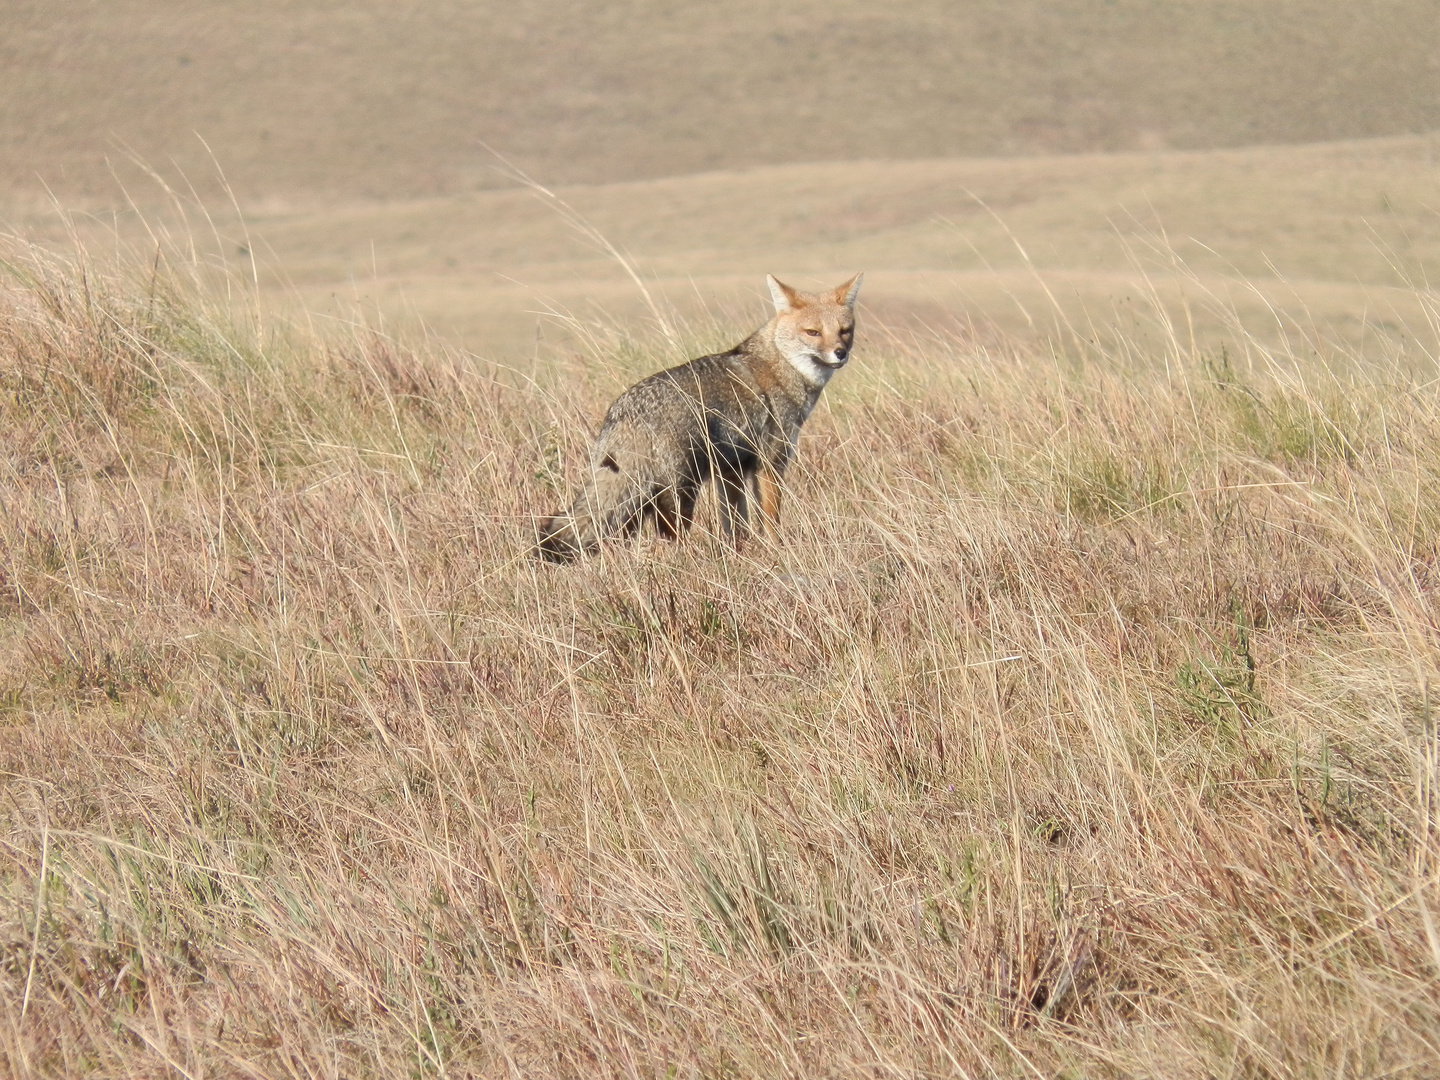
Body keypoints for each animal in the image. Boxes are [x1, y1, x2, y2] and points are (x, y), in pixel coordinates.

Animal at [535, 272, 858, 567]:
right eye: (813, 332)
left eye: (845, 331)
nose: (840, 353)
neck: (780, 366)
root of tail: (627, 409)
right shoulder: (770, 463)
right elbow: (770, 521)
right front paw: (777, 552)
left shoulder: (731, 470)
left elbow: (735, 525)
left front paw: (739, 555)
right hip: (679, 496)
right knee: (669, 542)